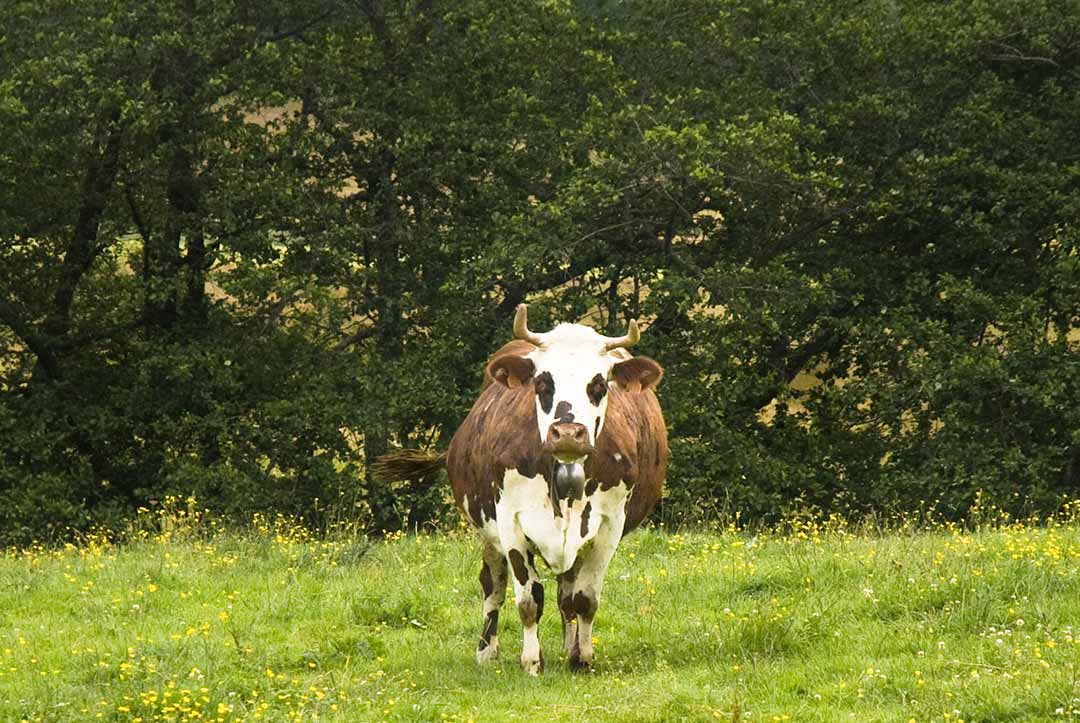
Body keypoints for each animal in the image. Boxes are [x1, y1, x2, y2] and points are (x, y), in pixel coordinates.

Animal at [375, 304, 667, 674]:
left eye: (599, 384)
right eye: (543, 383)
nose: (568, 433)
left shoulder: (609, 526)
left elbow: (585, 599)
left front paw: (582, 658)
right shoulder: (510, 521)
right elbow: (529, 599)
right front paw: (531, 661)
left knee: (566, 592)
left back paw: (569, 645)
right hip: (487, 534)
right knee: (493, 585)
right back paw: (487, 650)